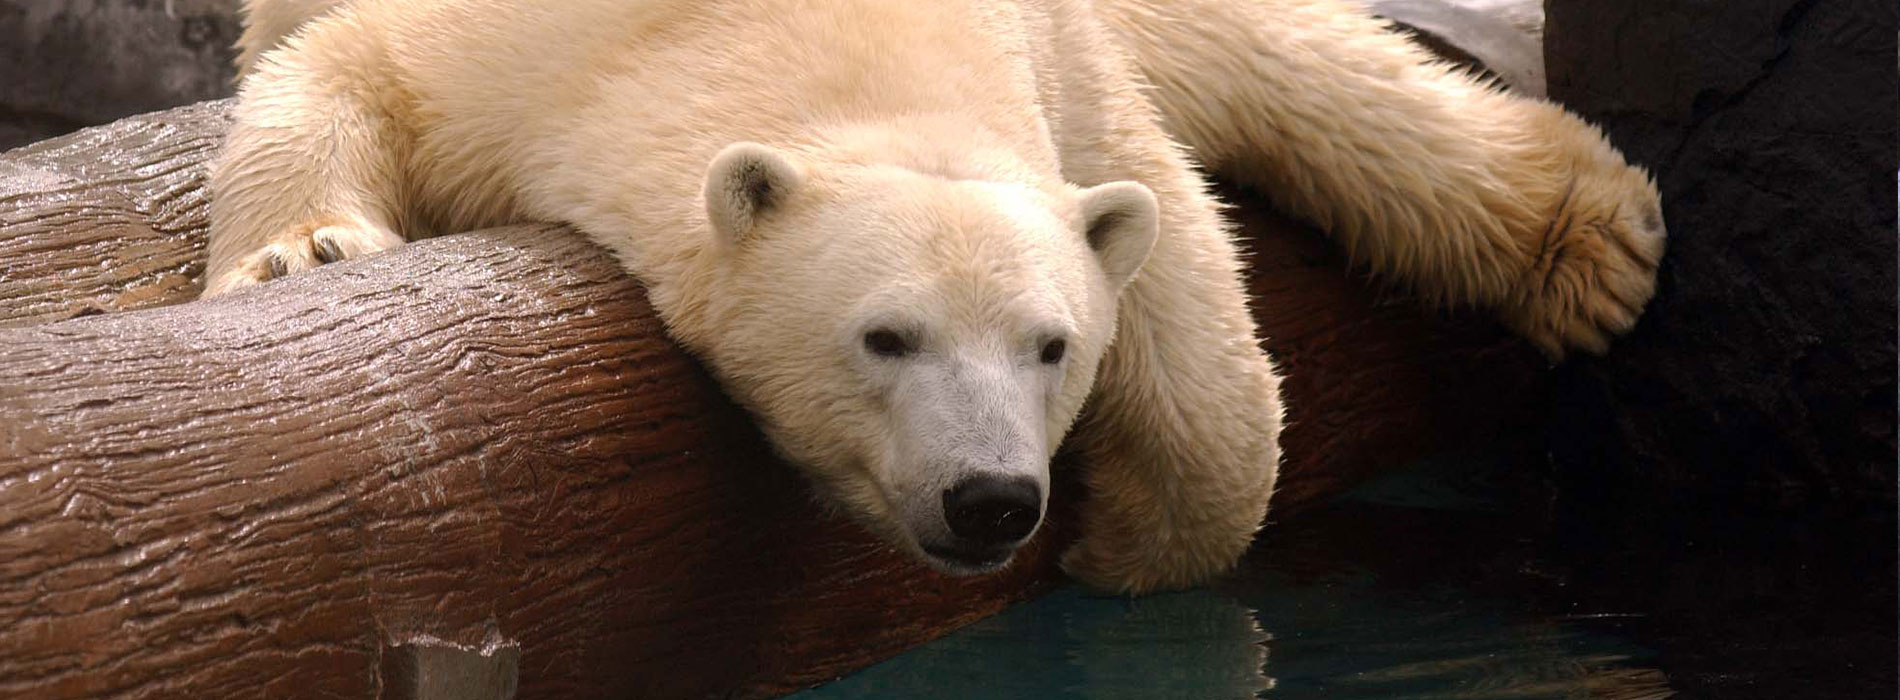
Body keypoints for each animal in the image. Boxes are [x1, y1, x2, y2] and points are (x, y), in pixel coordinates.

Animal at [204, 0, 1665, 594]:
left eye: (1051, 347)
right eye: (884, 337)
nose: (994, 501)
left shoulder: (1059, 60)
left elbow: (1161, 231)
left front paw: (1127, 544)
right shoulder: (516, 56)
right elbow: (335, 66)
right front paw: (304, 254)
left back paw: (1595, 245)